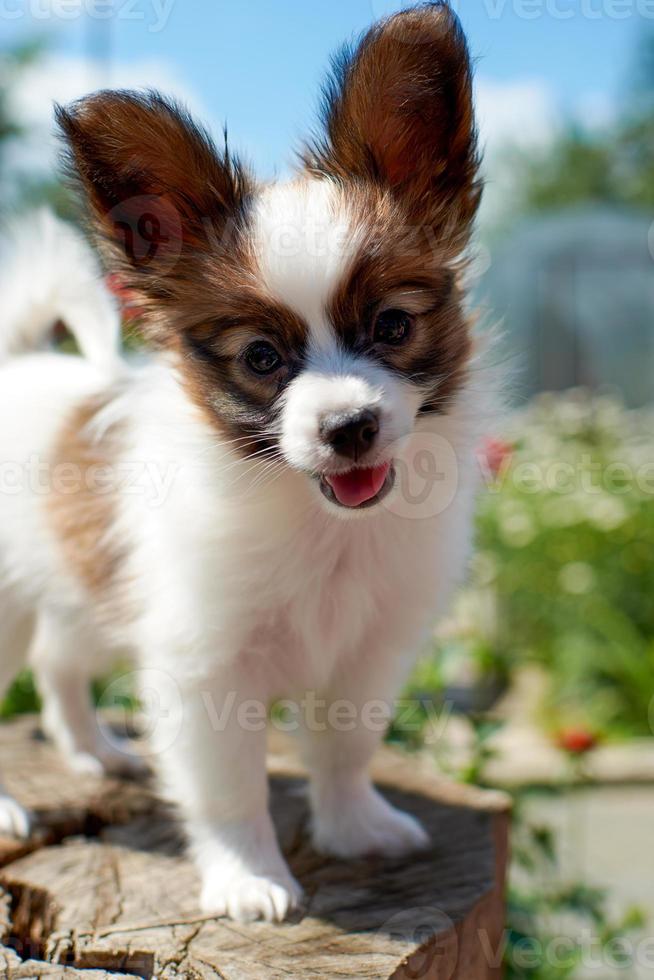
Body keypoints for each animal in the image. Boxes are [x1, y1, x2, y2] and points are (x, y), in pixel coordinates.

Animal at [0, 1, 492, 920]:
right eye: (262, 358)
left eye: (394, 326)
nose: (349, 427)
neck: (313, 516)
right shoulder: (204, 666)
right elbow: (231, 790)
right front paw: (248, 878)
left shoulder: (368, 651)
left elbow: (345, 750)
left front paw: (356, 828)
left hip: (86, 593)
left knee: (58, 663)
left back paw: (95, 752)